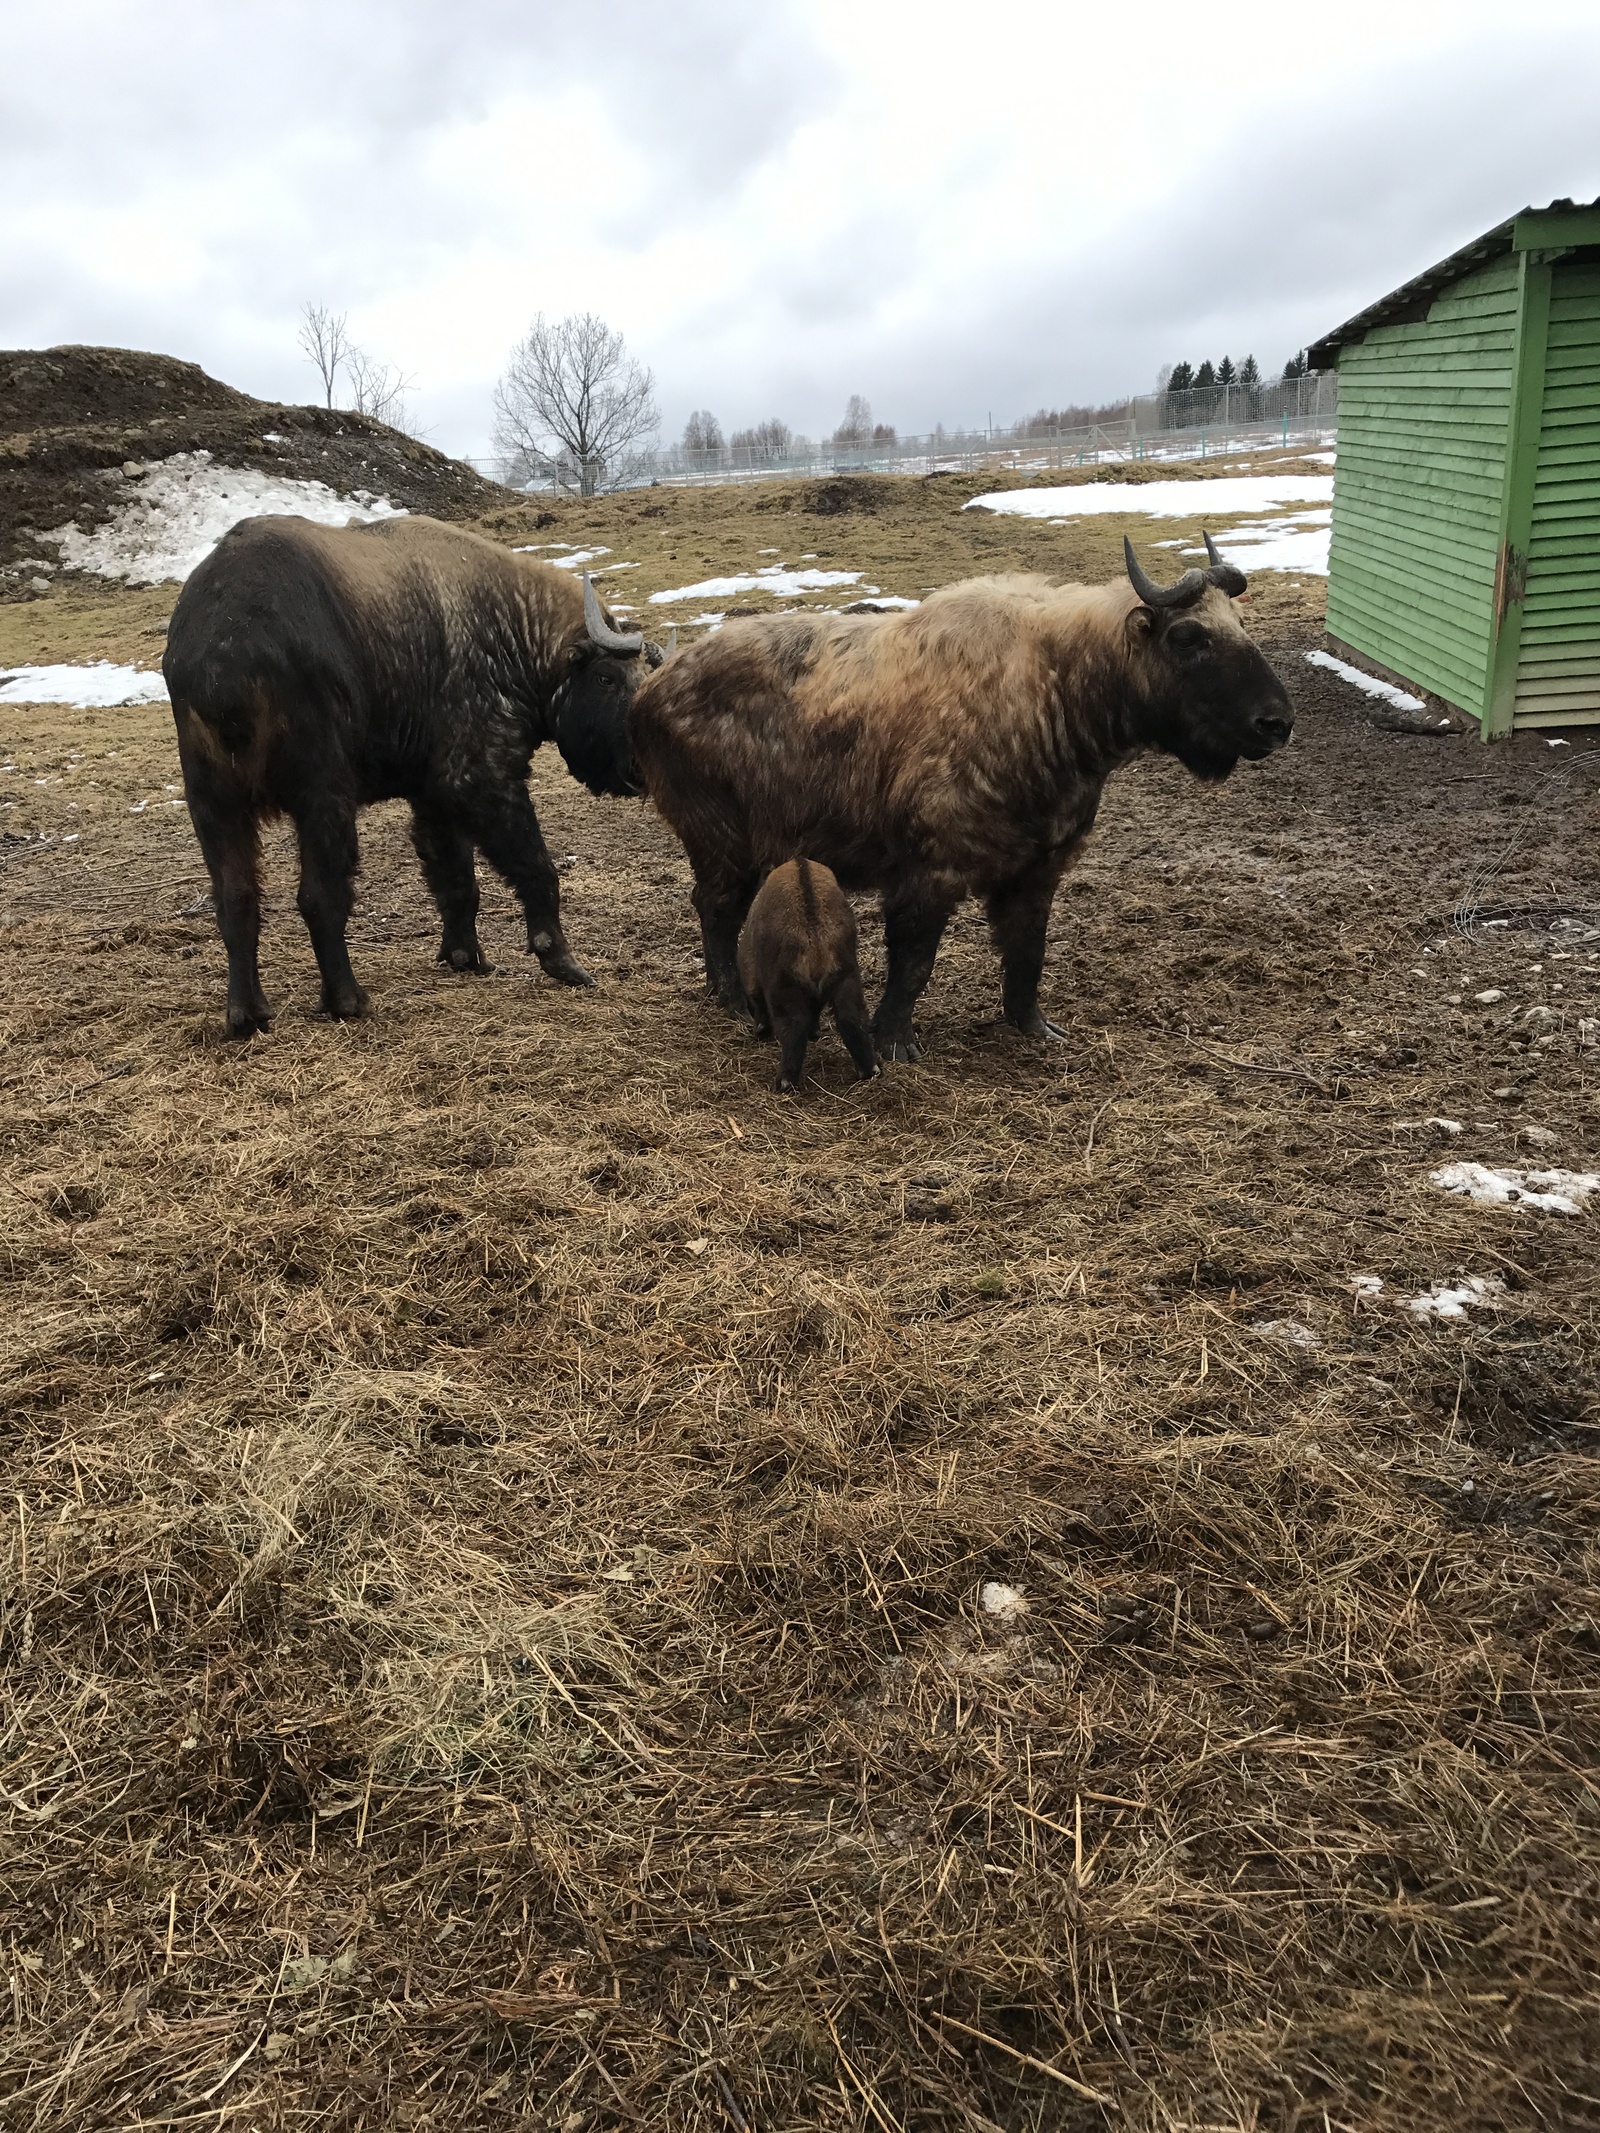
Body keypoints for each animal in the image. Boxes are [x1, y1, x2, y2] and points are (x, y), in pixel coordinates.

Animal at [164, 524, 657, 1040]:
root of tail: (222, 652)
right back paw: (347, 999)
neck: (514, 629)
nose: (641, 766)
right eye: (606, 677)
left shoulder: (433, 796)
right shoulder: (481, 779)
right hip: (322, 797)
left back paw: (247, 1013)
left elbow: (457, 880)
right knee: (320, 897)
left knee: (236, 900)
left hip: (215, 805)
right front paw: (559, 959)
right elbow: (537, 869)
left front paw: (464, 955)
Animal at [631, 541, 1297, 1057]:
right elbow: (913, 965)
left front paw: (1032, 1027)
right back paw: (733, 1002)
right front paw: (894, 1040)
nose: (1277, 723)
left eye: (1241, 627)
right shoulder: (930, 873)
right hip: (722, 843)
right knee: (715, 911)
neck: (1050, 694)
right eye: (1188, 637)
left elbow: (1028, 955)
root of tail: (653, 684)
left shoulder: (1036, 872)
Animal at [738, 853, 878, 1092]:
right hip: (847, 978)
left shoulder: (753, 975)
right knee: (851, 1017)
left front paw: (761, 1030)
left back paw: (785, 1080)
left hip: (785, 988)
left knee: (793, 1025)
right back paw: (869, 1070)